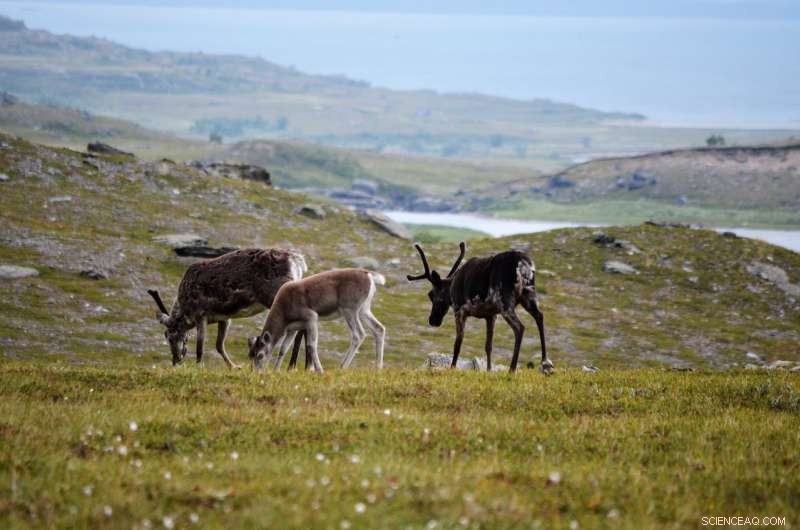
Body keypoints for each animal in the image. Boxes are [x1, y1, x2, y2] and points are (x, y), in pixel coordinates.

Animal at [147, 248, 311, 369]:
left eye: (169, 336)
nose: (175, 360)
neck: (185, 310)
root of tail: (297, 260)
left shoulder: (201, 315)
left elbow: (200, 347)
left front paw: (199, 367)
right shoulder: (224, 318)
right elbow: (219, 345)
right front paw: (234, 366)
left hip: (276, 296)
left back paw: (295, 365)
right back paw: (297, 365)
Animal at [248, 268, 386, 372]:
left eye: (260, 355)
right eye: (250, 354)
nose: (256, 372)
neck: (284, 311)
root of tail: (368, 275)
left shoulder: (312, 317)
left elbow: (311, 345)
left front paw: (319, 370)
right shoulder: (292, 329)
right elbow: (283, 349)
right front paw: (275, 371)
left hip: (349, 310)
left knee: (359, 334)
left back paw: (342, 367)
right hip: (364, 310)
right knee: (379, 328)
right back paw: (378, 367)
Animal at [407, 242, 553, 374]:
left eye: (431, 295)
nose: (433, 320)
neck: (451, 286)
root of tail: (523, 264)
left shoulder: (459, 310)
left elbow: (458, 343)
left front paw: (452, 368)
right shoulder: (491, 315)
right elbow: (488, 345)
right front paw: (488, 370)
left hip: (504, 300)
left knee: (519, 327)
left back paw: (512, 370)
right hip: (529, 294)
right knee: (540, 316)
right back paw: (546, 363)